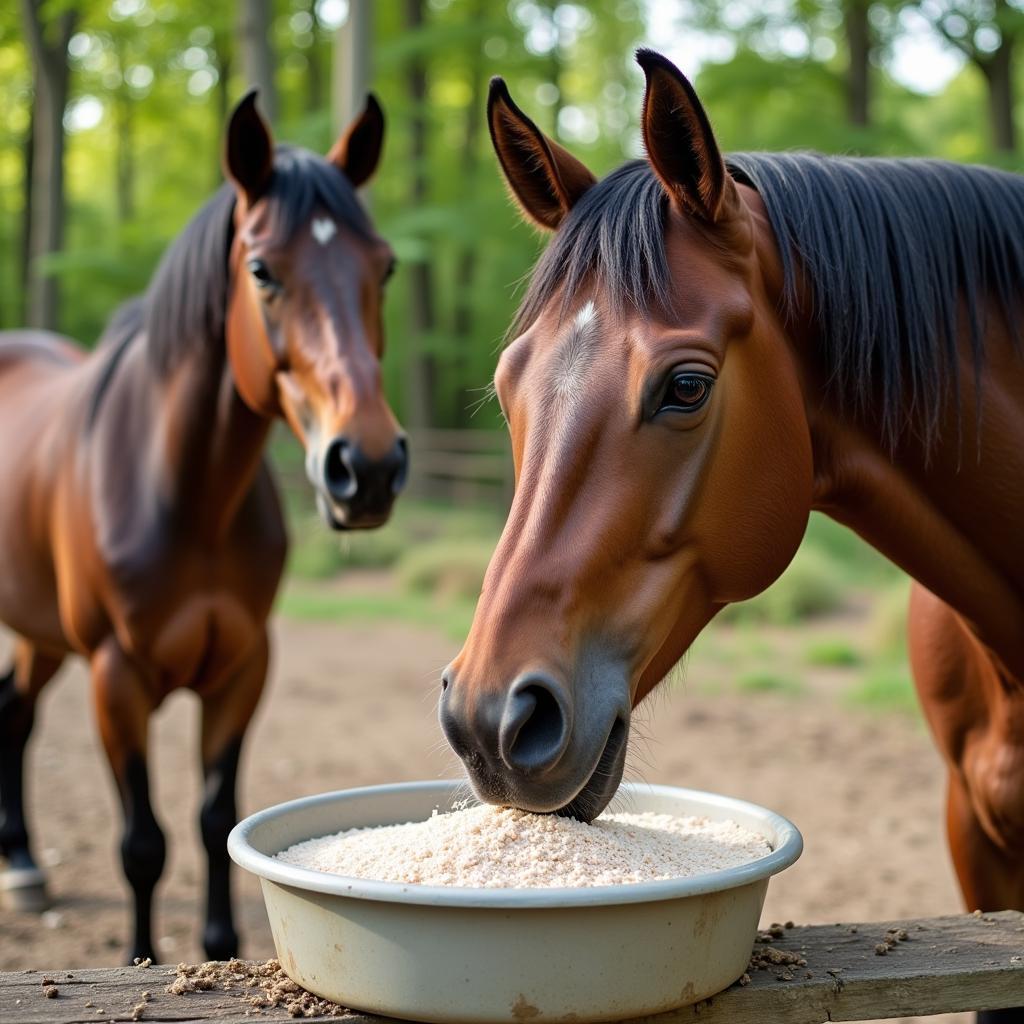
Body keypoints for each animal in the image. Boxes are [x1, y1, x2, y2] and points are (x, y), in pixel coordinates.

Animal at [0, 92, 407, 962]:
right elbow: (143, 842)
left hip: (41, 632)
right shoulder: (116, 677)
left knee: (12, 713)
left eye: (384, 266)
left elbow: (216, 816)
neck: (185, 495)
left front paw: (218, 948)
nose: (367, 467)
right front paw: (142, 957)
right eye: (262, 271)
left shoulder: (242, 667)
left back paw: (23, 864)